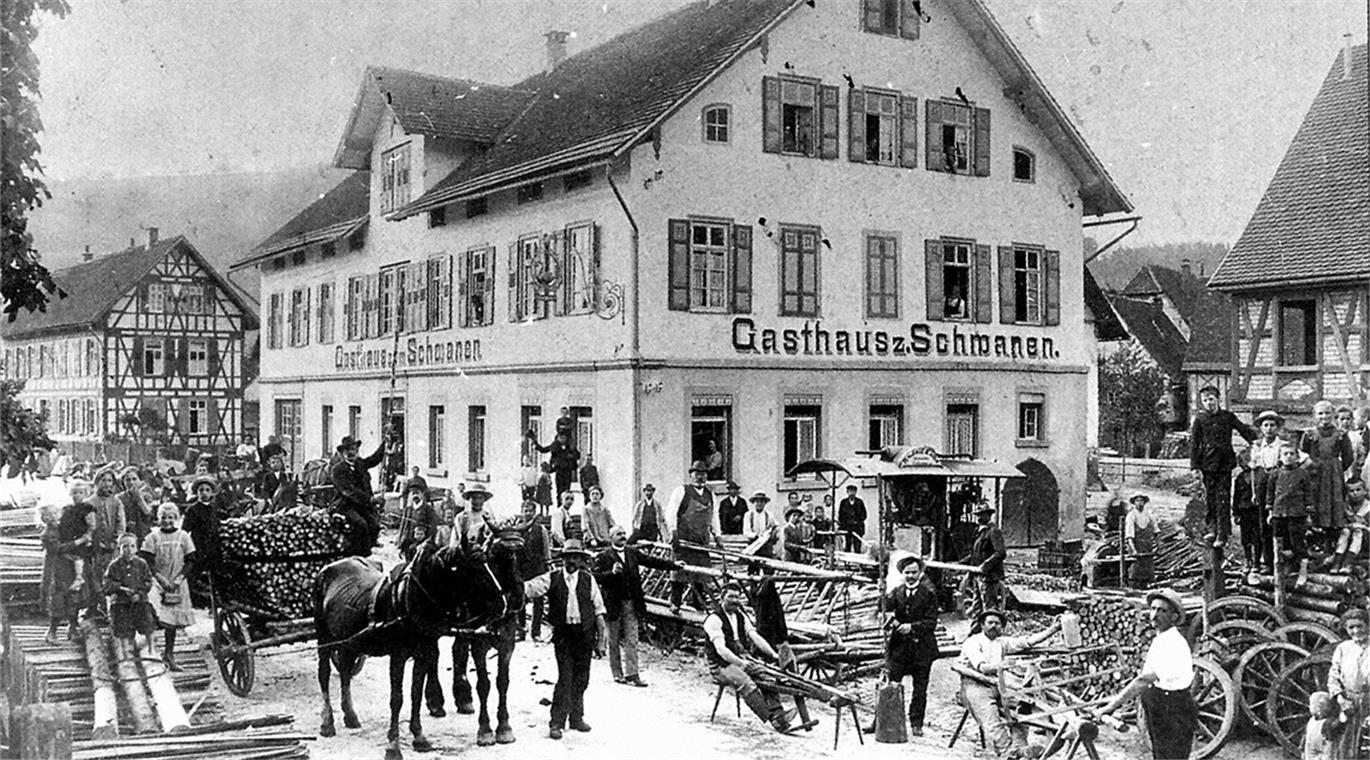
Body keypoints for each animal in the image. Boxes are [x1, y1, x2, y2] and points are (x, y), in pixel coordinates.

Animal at [313, 534, 517, 760]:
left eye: (489, 562)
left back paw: (350, 715)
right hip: (324, 637)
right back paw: (327, 722)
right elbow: (397, 698)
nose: (504, 604)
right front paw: (393, 746)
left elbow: (416, 694)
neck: (413, 598)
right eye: (475, 566)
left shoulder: (423, 653)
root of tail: (328, 568)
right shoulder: (398, 656)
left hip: (348, 641)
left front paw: (419, 737)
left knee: (345, 671)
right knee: (324, 674)